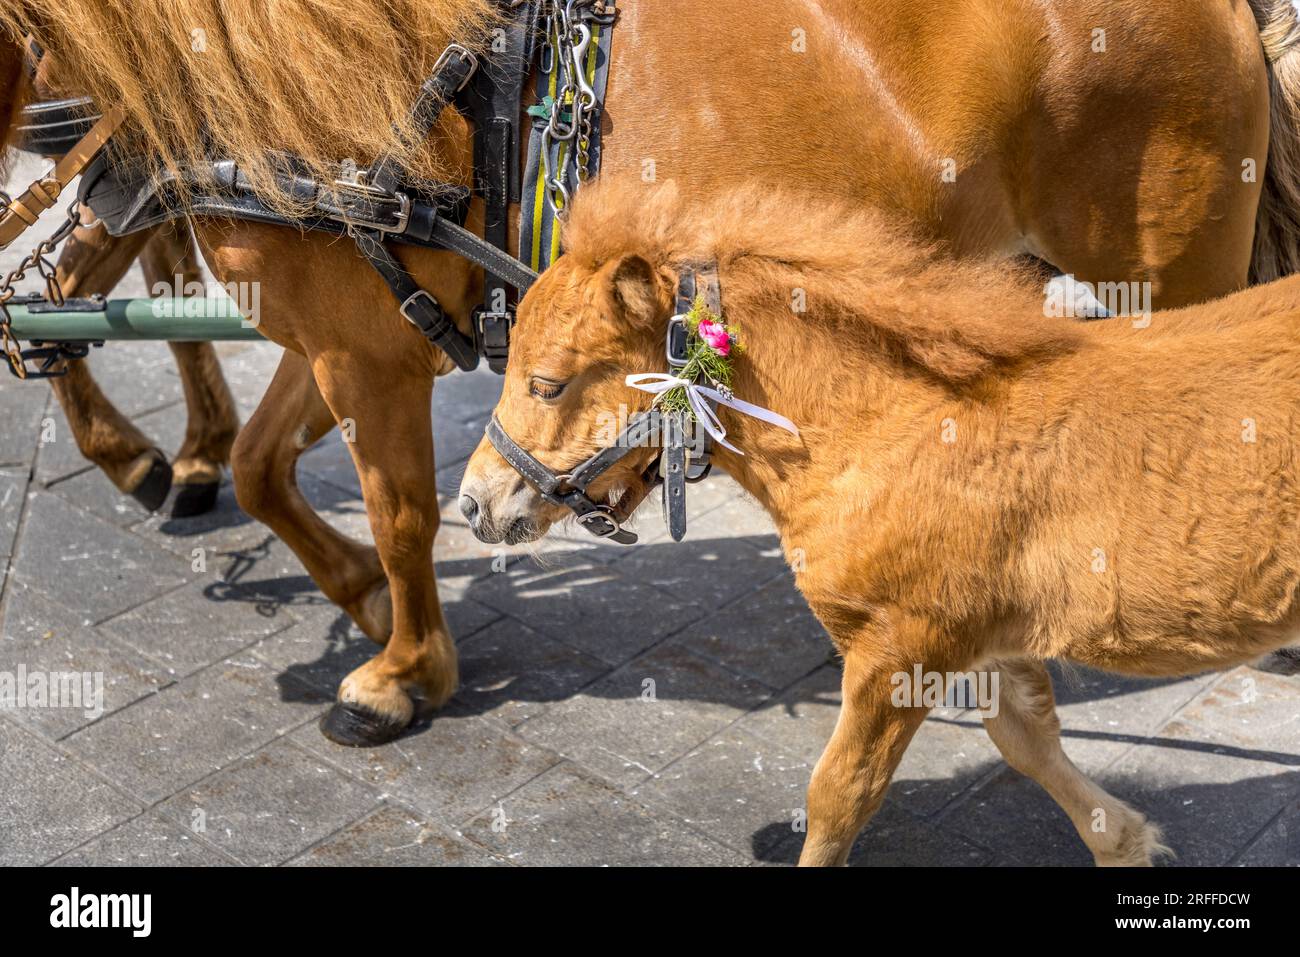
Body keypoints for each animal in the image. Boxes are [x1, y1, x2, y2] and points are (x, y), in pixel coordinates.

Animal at [457, 179, 1300, 868]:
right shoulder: (981, 634)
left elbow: (840, 797)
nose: (473, 503)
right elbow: (1026, 739)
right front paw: (1124, 838)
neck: (896, 427)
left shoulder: (899, 645)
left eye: (547, 382)